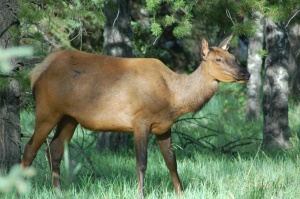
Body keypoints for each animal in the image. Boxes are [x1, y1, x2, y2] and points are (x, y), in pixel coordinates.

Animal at [21, 34, 250, 197]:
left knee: (54, 149)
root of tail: (35, 72)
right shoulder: (140, 120)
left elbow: (172, 161)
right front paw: (141, 193)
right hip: (47, 111)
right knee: (30, 148)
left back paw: (58, 191)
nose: (246, 73)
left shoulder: (164, 126)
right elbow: (142, 162)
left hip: (70, 118)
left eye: (234, 57)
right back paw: (21, 189)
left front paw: (181, 192)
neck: (173, 97)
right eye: (218, 59)